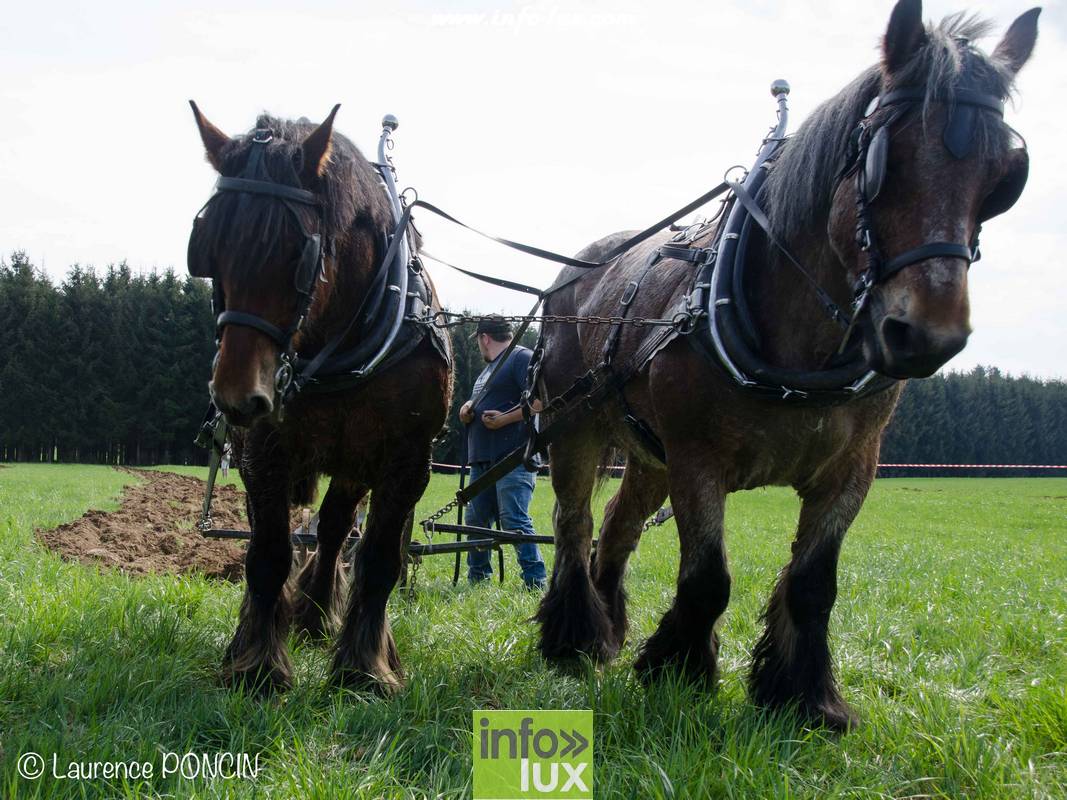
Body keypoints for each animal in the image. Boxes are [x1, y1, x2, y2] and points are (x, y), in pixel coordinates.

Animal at [187, 108, 450, 695]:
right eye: (207, 245)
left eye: (298, 252)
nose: (237, 397)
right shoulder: (265, 449)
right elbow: (268, 552)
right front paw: (257, 664)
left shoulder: (406, 459)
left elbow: (379, 558)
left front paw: (365, 668)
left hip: (354, 464)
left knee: (332, 529)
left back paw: (316, 614)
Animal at [537, 0, 1037, 733]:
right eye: (884, 157)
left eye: (1004, 176)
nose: (926, 336)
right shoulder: (698, 458)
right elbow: (707, 578)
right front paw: (677, 671)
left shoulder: (852, 466)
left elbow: (812, 584)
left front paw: (804, 695)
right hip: (574, 430)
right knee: (573, 525)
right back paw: (573, 636)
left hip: (648, 455)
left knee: (616, 527)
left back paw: (606, 630)